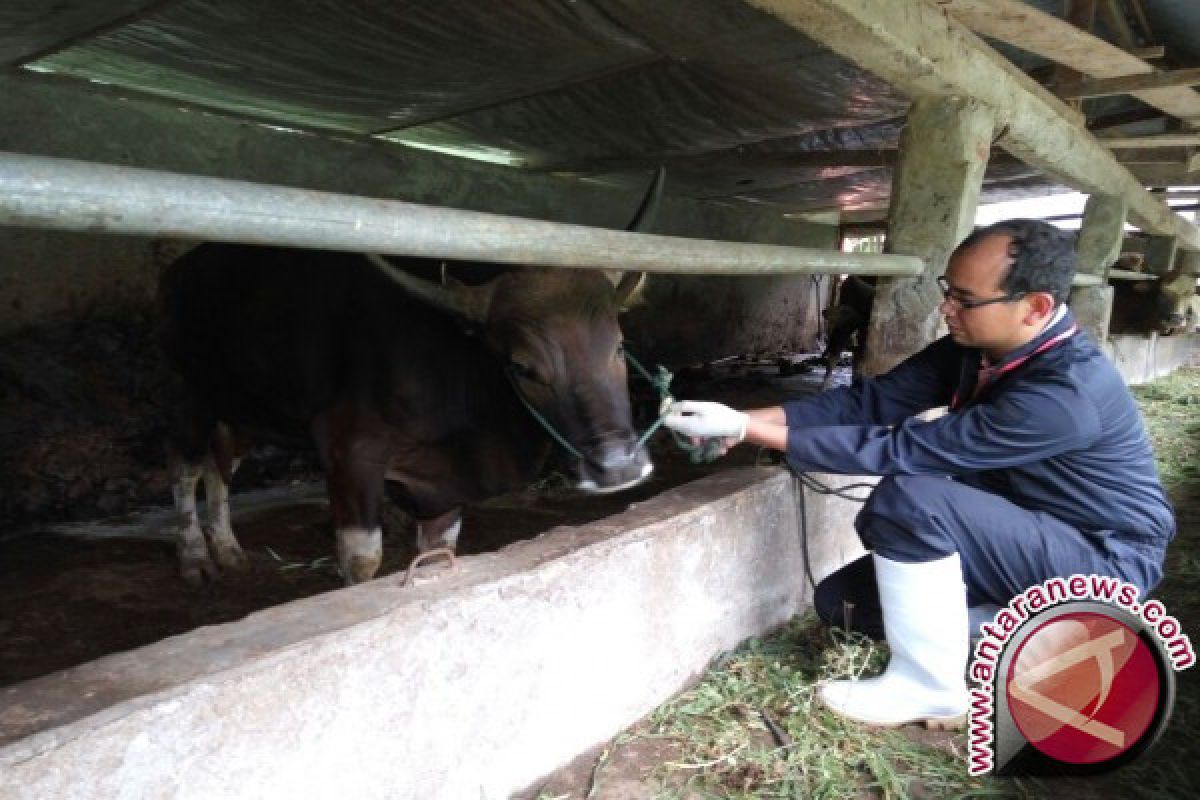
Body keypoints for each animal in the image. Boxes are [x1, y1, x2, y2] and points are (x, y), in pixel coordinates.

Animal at [156, 176, 662, 587]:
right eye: (522, 366)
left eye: (618, 347)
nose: (617, 466)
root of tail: (176, 273)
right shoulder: (347, 449)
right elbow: (362, 560)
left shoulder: (444, 486)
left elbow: (439, 554)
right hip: (185, 392)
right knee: (184, 468)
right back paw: (196, 559)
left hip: (240, 406)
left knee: (220, 469)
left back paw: (228, 549)